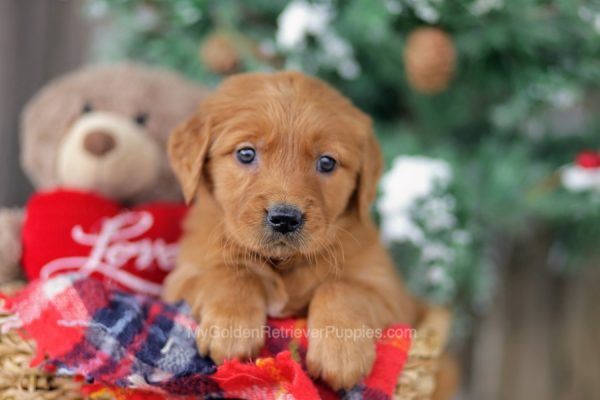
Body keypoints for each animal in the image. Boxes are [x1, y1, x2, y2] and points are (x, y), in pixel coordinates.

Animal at [164, 70, 418, 390]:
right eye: (246, 154)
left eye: (327, 162)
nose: (284, 218)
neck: (283, 264)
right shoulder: (182, 277)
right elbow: (233, 272)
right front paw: (231, 328)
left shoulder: (393, 295)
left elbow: (341, 287)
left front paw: (341, 351)